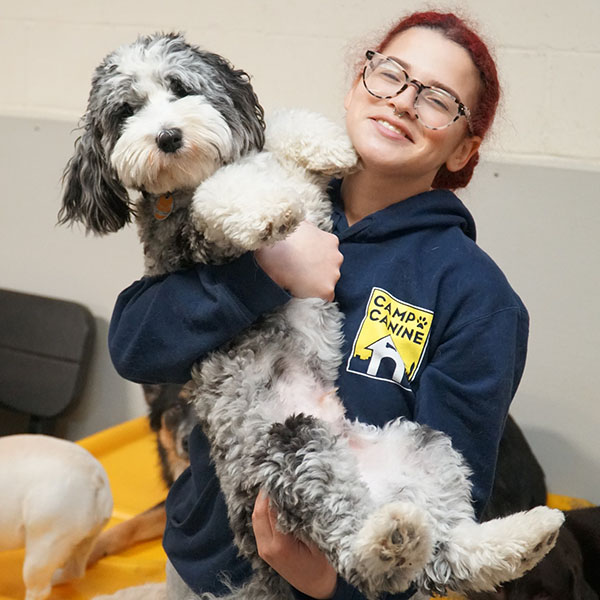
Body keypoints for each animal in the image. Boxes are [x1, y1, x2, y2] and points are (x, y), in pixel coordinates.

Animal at [0, 436, 113, 600]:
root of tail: (95, 476)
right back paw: (56, 577)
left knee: (39, 589)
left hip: (44, 546)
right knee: (75, 571)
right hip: (87, 539)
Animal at [59, 34, 564, 600]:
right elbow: (219, 199)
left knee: (446, 551)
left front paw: (333, 147)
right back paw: (392, 543)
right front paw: (269, 210)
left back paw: (521, 536)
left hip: (422, 443)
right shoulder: (190, 240)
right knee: (368, 555)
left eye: (179, 87)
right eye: (126, 112)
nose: (167, 136)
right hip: (293, 449)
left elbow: (281, 128)